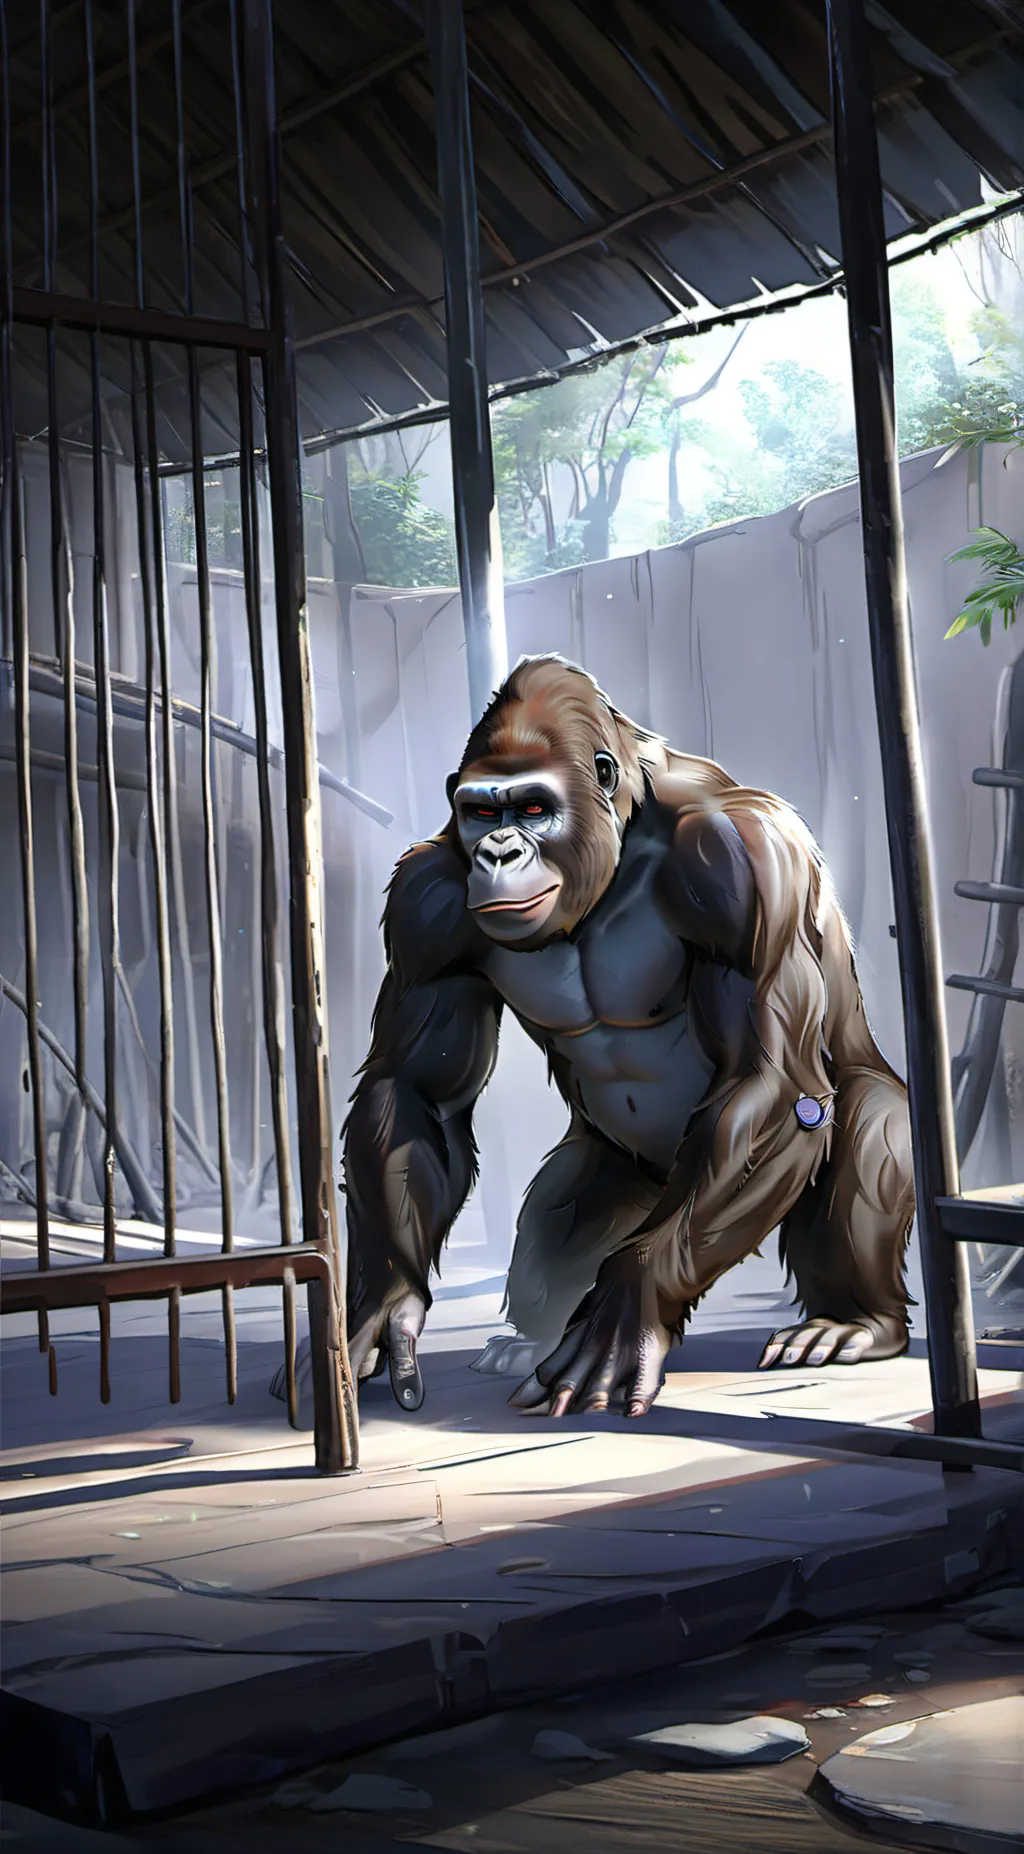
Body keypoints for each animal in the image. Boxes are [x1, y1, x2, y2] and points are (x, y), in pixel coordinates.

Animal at [336, 654, 914, 1419]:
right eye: (483, 811)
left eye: (532, 808)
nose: (496, 851)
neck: (616, 843)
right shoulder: (424, 901)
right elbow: (416, 1088)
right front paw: (384, 1301)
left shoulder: (742, 863)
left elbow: (774, 1084)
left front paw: (631, 1300)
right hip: (623, 1173)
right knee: (555, 1218)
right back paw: (529, 1333)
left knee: (865, 1132)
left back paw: (856, 1320)